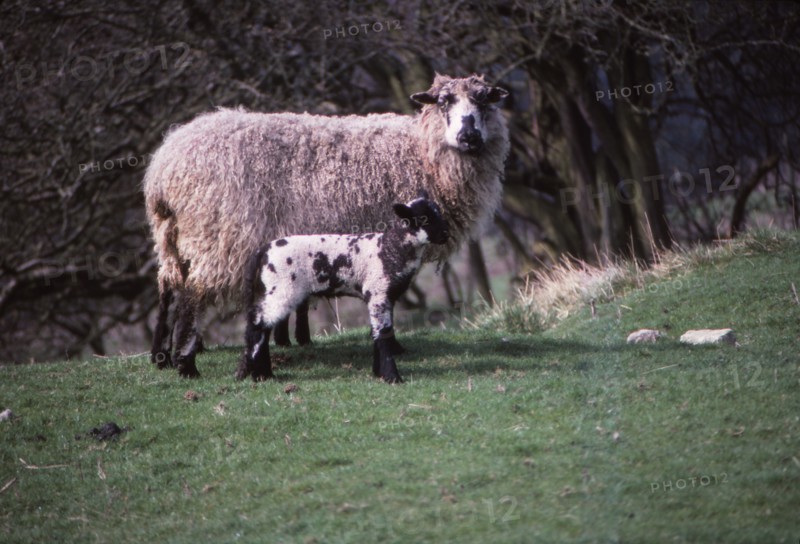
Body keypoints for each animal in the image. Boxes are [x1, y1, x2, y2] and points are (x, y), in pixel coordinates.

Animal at [236, 195, 449, 383]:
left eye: (438, 212)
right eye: (423, 218)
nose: (445, 235)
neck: (390, 248)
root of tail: (263, 250)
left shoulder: (385, 296)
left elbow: (380, 333)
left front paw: (378, 372)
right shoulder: (377, 293)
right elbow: (383, 334)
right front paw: (392, 377)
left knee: (258, 326)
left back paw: (262, 373)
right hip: (281, 290)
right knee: (257, 325)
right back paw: (259, 374)